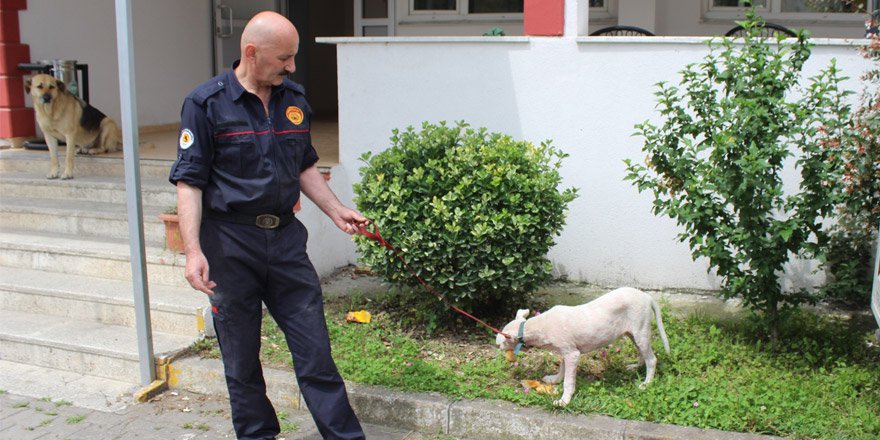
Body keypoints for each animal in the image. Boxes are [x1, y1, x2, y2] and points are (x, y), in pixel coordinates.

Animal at [496, 288, 668, 408]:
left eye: (500, 344)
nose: (497, 347)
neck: (537, 326)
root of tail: (646, 296)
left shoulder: (572, 354)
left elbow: (568, 381)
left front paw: (564, 401)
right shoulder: (566, 351)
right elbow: (562, 368)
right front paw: (554, 379)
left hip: (641, 331)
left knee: (652, 359)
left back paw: (646, 384)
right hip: (633, 333)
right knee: (642, 353)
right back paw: (635, 367)